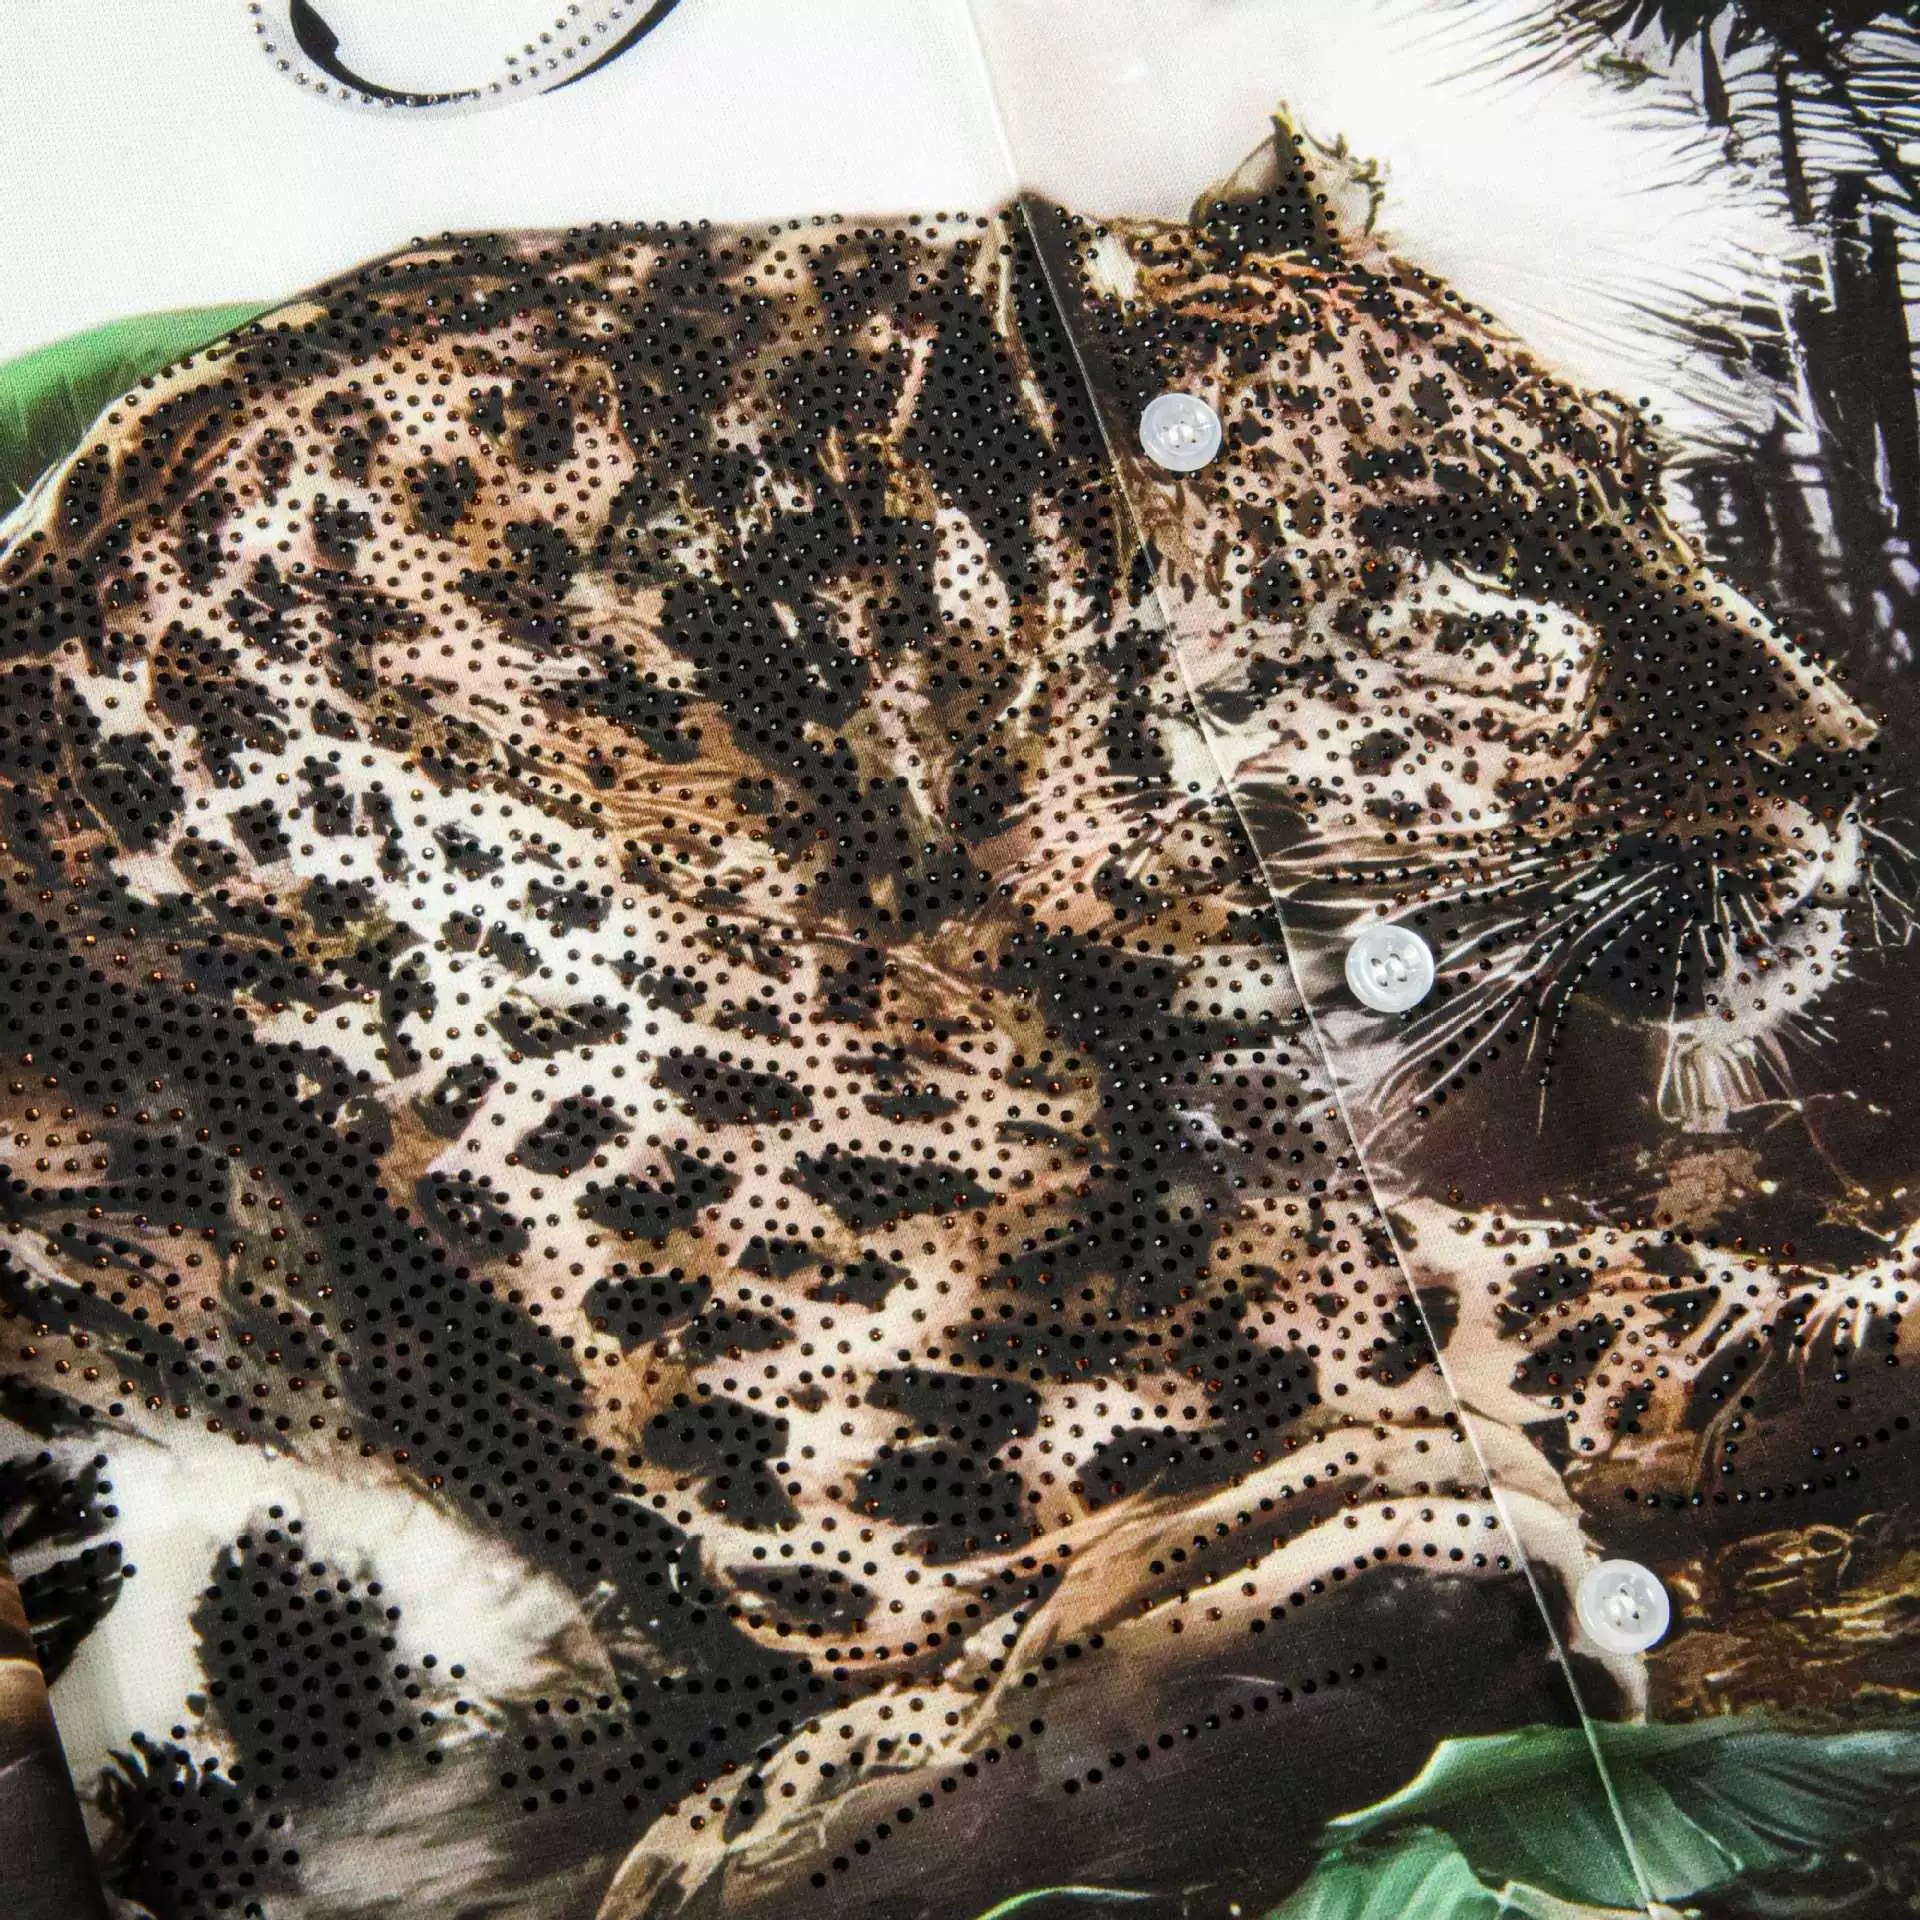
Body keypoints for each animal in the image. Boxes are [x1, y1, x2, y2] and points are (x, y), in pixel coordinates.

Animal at [0, 116, 1901, 1920]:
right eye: (1471, 551)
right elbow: (1626, 1314)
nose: (1856, 753)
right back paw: (1413, 1579)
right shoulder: (976, 1347)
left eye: (1649, 484)